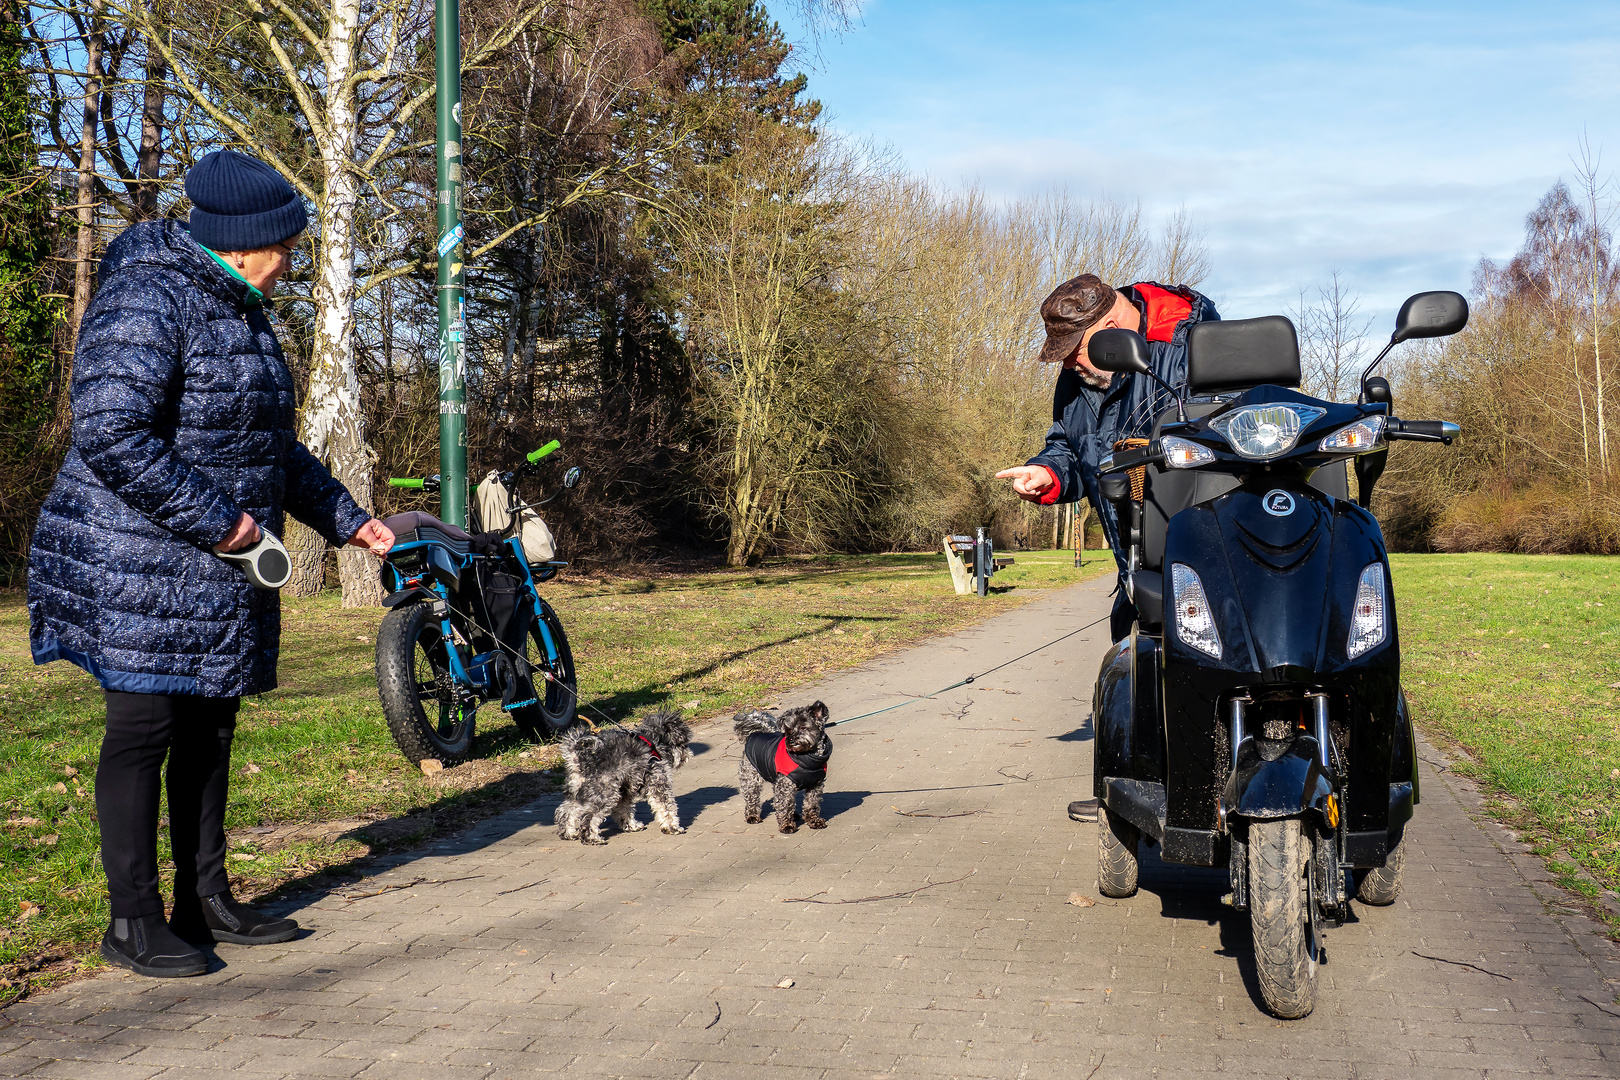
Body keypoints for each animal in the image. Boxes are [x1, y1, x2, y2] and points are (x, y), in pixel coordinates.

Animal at [557, 712, 690, 848]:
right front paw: (672, 827)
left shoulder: (624, 790)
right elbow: (666, 808)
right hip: (604, 793)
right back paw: (592, 838)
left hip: (577, 791)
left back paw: (570, 833)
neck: (653, 743)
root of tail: (581, 758)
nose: (687, 754)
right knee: (589, 816)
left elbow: (624, 810)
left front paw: (632, 826)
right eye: (682, 743)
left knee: (567, 811)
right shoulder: (658, 781)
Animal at [738, 702, 835, 835]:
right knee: (752, 798)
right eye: (788, 730)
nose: (791, 740)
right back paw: (752, 816)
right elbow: (785, 805)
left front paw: (814, 821)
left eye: (803, 727)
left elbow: (812, 804)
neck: (807, 760)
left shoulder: (815, 785)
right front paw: (787, 825)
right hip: (751, 779)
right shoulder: (785, 785)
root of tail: (756, 732)